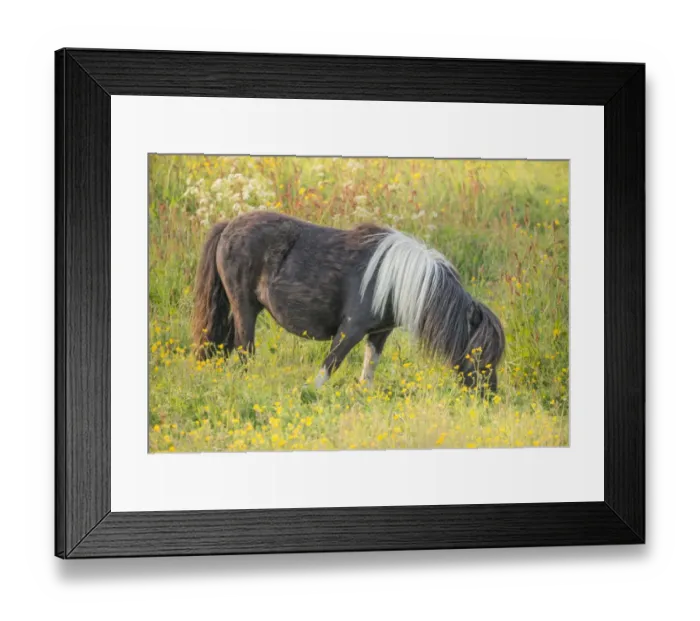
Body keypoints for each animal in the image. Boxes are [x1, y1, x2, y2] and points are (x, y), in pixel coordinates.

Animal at [192, 211, 505, 393]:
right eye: (480, 354)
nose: (488, 395)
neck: (392, 278)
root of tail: (228, 226)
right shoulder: (351, 329)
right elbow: (330, 366)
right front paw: (310, 395)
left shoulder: (379, 333)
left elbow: (368, 369)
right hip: (243, 307)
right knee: (245, 350)